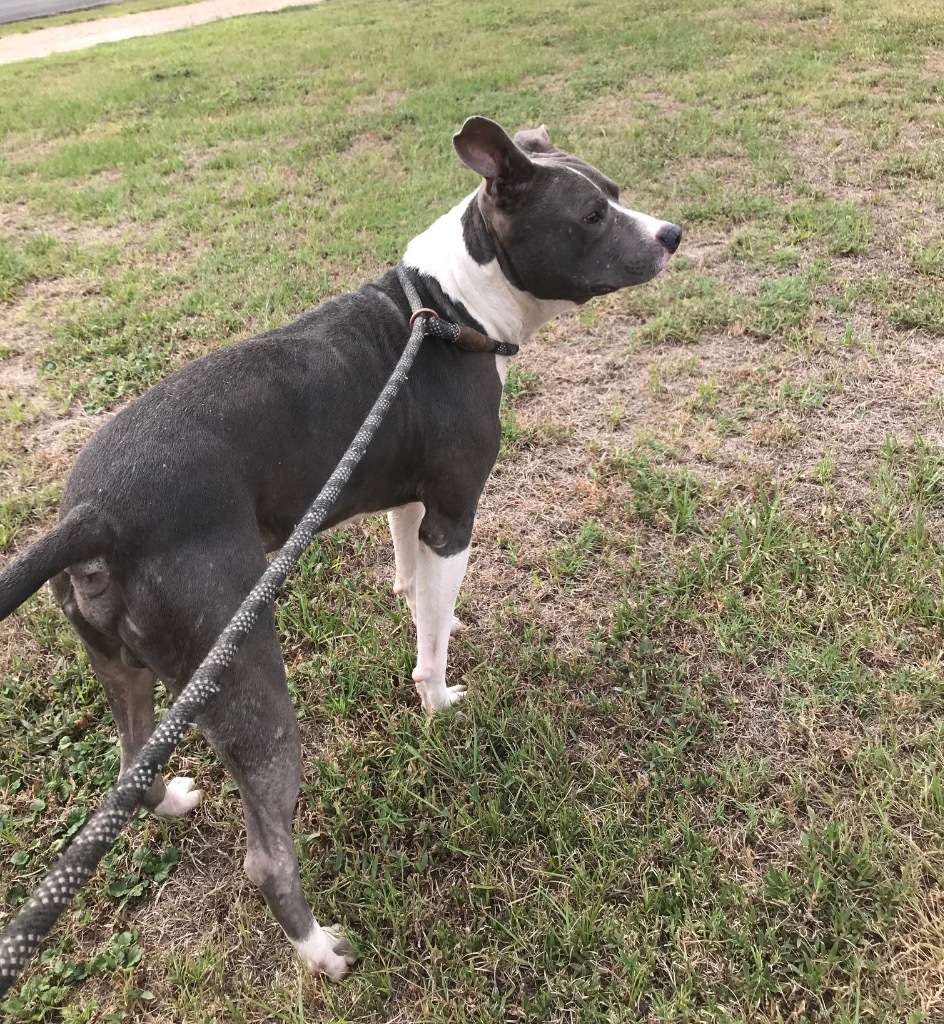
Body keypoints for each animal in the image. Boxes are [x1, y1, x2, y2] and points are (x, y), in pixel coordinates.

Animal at [0, 116, 679, 978]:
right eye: (591, 215)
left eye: (616, 193)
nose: (672, 234)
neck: (447, 306)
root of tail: (93, 515)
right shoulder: (454, 513)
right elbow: (430, 642)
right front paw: (437, 699)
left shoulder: (407, 499)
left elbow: (414, 585)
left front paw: (428, 610)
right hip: (245, 674)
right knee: (266, 854)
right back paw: (320, 952)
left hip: (122, 665)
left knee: (128, 762)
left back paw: (173, 800)